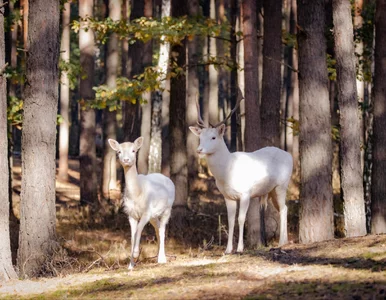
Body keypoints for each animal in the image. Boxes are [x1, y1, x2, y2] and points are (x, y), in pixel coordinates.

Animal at [108, 137, 175, 268]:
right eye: (119, 151)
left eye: (134, 150)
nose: (126, 160)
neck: (137, 193)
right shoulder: (131, 214)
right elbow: (132, 236)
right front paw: (130, 265)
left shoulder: (146, 212)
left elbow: (138, 229)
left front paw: (135, 254)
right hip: (154, 215)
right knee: (158, 228)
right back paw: (158, 256)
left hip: (167, 210)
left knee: (162, 229)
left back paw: (162, 259)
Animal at [189, 90, 292, 252]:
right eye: (200, 137)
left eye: (213, 137)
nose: (199, 150)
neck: (227, 172)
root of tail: (290, 155)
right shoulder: (227, 196)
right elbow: (231, 220)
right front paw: (227, 249)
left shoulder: (245, 193)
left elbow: (241, 219)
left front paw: (240, 248)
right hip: (271, 190)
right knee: (285, 207)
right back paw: (285, 240)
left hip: (282, 185)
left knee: (283, 208)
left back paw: (281, 242)